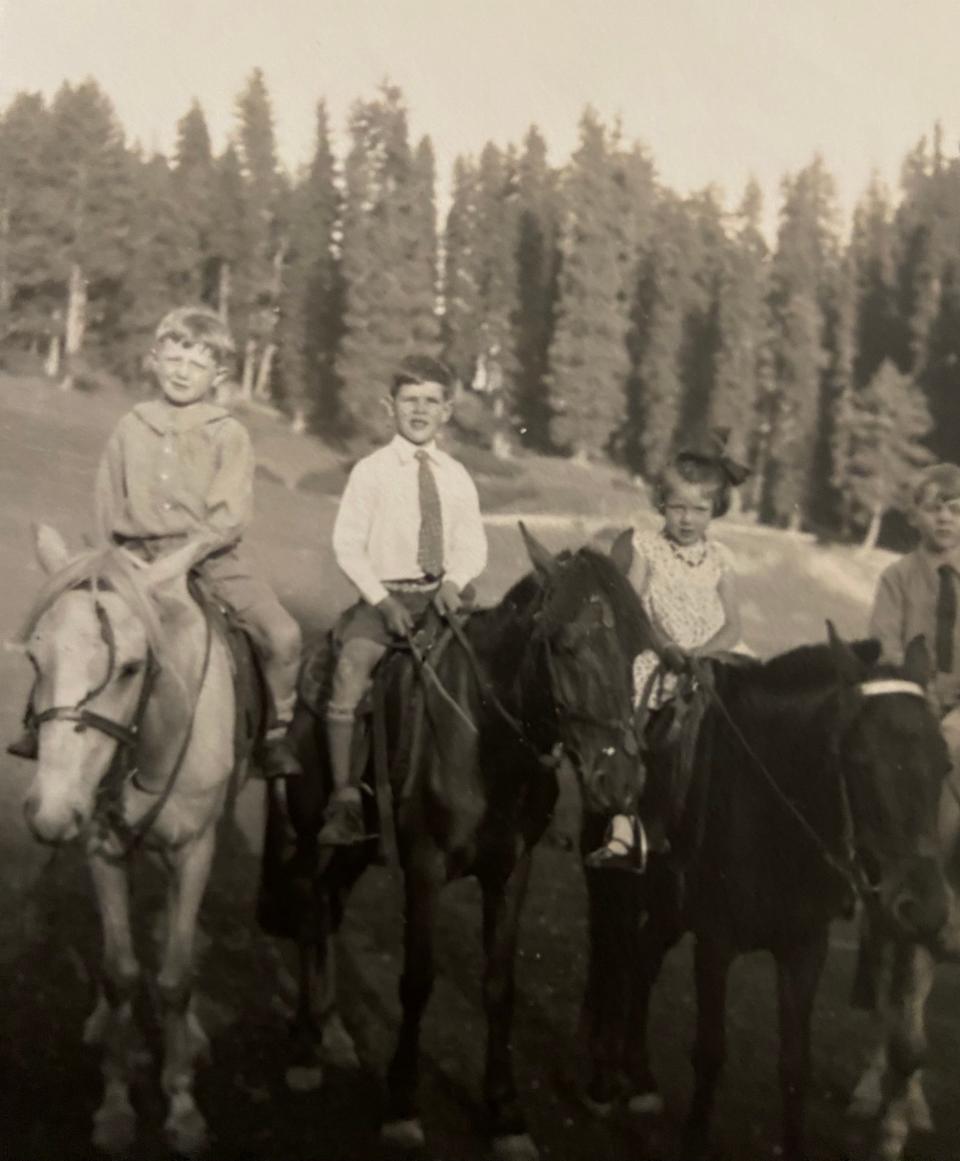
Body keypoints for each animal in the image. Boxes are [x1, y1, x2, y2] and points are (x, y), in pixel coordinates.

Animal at [20, 529, 243, 1161]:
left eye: (131, 667)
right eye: (35, 658)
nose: (50, 812)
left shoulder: (194, 850)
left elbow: (175, 978)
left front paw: (183, 1105)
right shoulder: (100, 846)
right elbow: (120, 973)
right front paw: (116, 1106)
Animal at [255, 529, 654, 1161]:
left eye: (640, 648)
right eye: (566, 645)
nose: (619, 781)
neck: (487, 739)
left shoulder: (512, 872)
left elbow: (499, 987)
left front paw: (505, 1113)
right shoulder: (424, 866)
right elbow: (417, 979)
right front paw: (401, 1105)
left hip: (357, 850)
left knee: (326, 911)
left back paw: (332, 1030)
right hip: (317, 830)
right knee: (309, 906)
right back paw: (305, 1048)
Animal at [582, 608, 951, 1161]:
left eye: (946, 764)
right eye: (860, 761)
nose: (924, 908)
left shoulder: (804, 948)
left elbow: (796, 1065)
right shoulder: (715, 943)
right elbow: (710, 1050)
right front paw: (694, 1140)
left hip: (669, 909)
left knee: (641, 960)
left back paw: (639, 1076)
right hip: (615, 891)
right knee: (612, 962)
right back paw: (602, 1081)